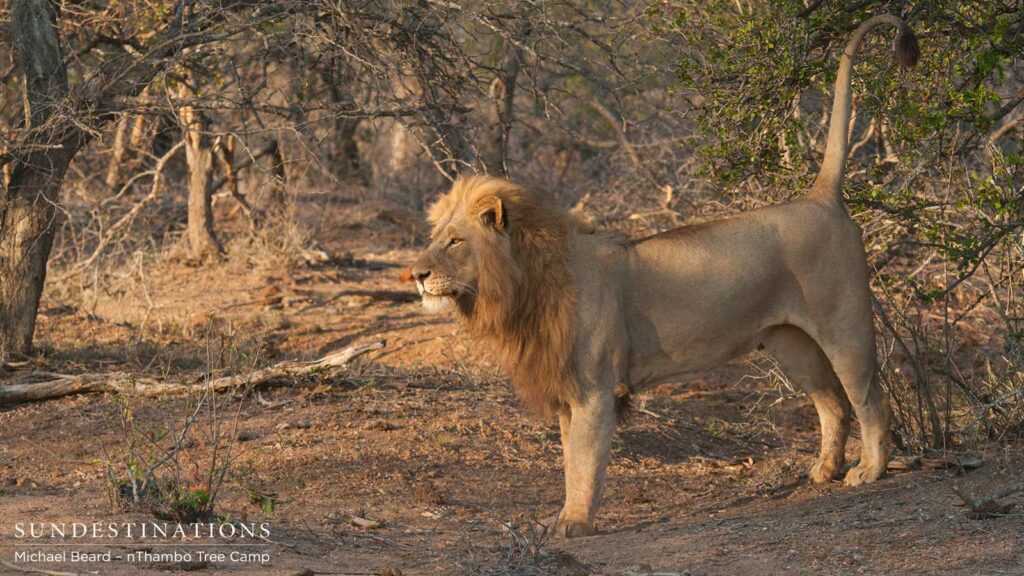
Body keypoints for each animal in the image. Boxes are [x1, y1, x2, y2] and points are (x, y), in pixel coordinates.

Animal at [410, 15, 919, 538]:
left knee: (870, 399)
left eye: (455, 241)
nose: (417, 273)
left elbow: (585, 462)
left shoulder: (595, 390)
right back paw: (824, 471)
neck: (523, 285)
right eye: (435, 236)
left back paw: (869, 471)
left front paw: (575, 522)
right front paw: (565, 516)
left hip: (844, 326)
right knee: (832, 403)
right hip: (789, 343)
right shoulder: (569, 392)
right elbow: (570, 462)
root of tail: (820, 196)